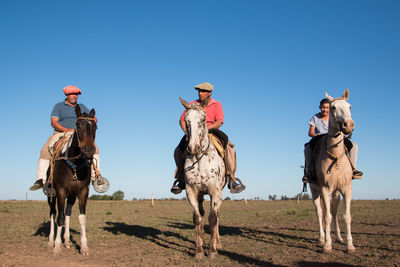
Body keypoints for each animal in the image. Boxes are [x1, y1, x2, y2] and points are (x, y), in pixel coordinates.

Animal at [46, 105, 96, 255]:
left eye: (95, 127)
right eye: (78, 126)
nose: (88, 151)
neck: (74, 165)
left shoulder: (83, 191)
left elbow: (81, 217)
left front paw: (84, 247)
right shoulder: (61, 191)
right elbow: (60, 217)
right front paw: (57, 246)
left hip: (72, 195)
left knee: (67, 212)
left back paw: (67, 240)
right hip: (51, 194)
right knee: (53, 213)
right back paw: (51, 241)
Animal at [180, 98, 227, 260]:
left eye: (202, 120)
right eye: (186, 120)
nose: (193, 147)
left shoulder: (214, 192)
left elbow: (213, 219)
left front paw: (212, 251)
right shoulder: (191, 192)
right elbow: (197, 218)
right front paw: (199, 251)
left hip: (219, 194)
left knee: (217, 216)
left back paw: (217, 243)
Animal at [310, 89, 356, 254]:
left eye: (349, 106)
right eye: (333, 107)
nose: (348, 125)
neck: (336, 157)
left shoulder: (346, 189)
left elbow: (346, 216)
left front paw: (349, 245)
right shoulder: (325, 189)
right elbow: (326, 217)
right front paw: (327, 245)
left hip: (336, 192)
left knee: (334, 211)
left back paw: (339, 237)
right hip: (315, 191)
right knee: (320, 213)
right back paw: (322, 238)